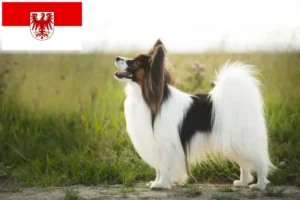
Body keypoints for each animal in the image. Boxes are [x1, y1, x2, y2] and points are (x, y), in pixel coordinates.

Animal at [113, 39, 276, 191]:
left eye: (135, 63)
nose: (116, 57)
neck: (146, 97)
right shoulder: (156, 144)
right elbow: (158, 168)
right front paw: (156, 182)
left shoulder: (167, 145)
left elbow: (164, 167)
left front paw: (162, 185)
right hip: (233, 143)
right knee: (244, 164)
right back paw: (243, 182)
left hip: (242, 142)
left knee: (260, 162)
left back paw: (260, 185)